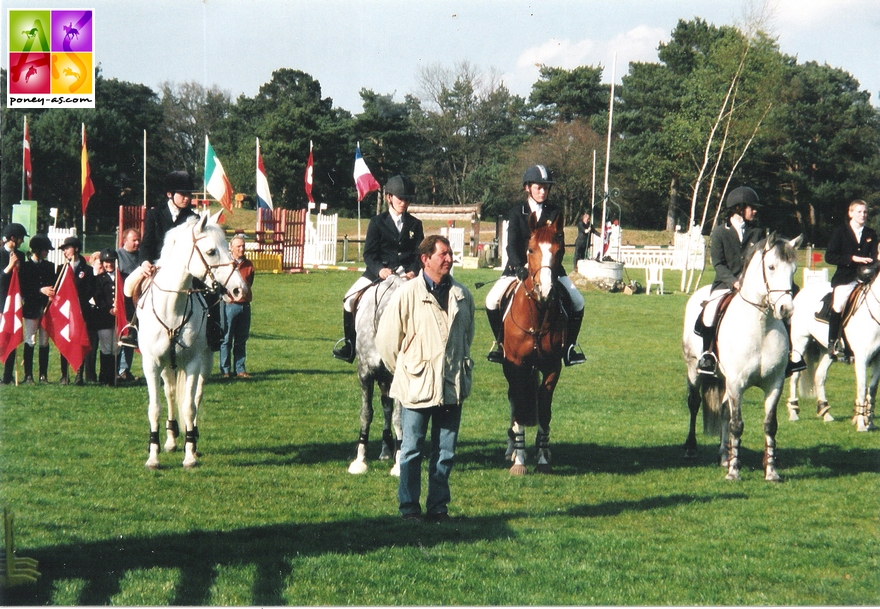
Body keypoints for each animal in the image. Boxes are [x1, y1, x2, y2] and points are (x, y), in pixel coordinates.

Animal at [138, 211, 248, 468]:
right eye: (211, 251)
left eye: (229, 248)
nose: (239, 290)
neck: (172, 308)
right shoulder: (151, 364)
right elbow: (155, 408)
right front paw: (153, 455)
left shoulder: (193, 363)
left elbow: (189, 406)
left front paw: (189, 455)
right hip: (167, 367)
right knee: (169, 394)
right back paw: (170, 438)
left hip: (204, 364)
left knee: (196, 397)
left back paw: (192, 439)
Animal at [350, 274, 406, 476]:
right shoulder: (365, 374)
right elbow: (366, 413)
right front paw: (360, 460)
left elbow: (398, 417)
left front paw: (399, 463)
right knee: (386, 406)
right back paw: (386, 450)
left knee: (389, 408)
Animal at [498, 214, 568, 476]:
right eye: (530, 249)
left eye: (560, 251)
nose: (545, 291)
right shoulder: (516, 366)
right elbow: (519, 406)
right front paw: (518, 461)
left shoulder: (552, 367)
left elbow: (544, 410)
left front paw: (543, 458)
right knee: (512, 400)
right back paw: (511, 449)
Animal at [680, 233, 804, 480]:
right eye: (771, 267)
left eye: (794, 269)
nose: (786, 309)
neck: (761, 328)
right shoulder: (737, 383)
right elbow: (737, 424)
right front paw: (734, 472)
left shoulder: (774, 384)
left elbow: (769, 425)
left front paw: (771, 471)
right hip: (694, 370)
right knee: (694, 403)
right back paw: (691, 449)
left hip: (723, 380)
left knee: (724, 411)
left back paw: (724, 456)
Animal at [792, 276, 880, 428]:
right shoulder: (862, 358)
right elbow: (862, 388)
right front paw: (861, 423)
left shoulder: (878, 360)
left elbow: (872, 389)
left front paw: (870, 422)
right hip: (800, 342)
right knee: (795, 376)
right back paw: (793, 412)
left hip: (828, 352)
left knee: (819, 376)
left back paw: (825, 413)